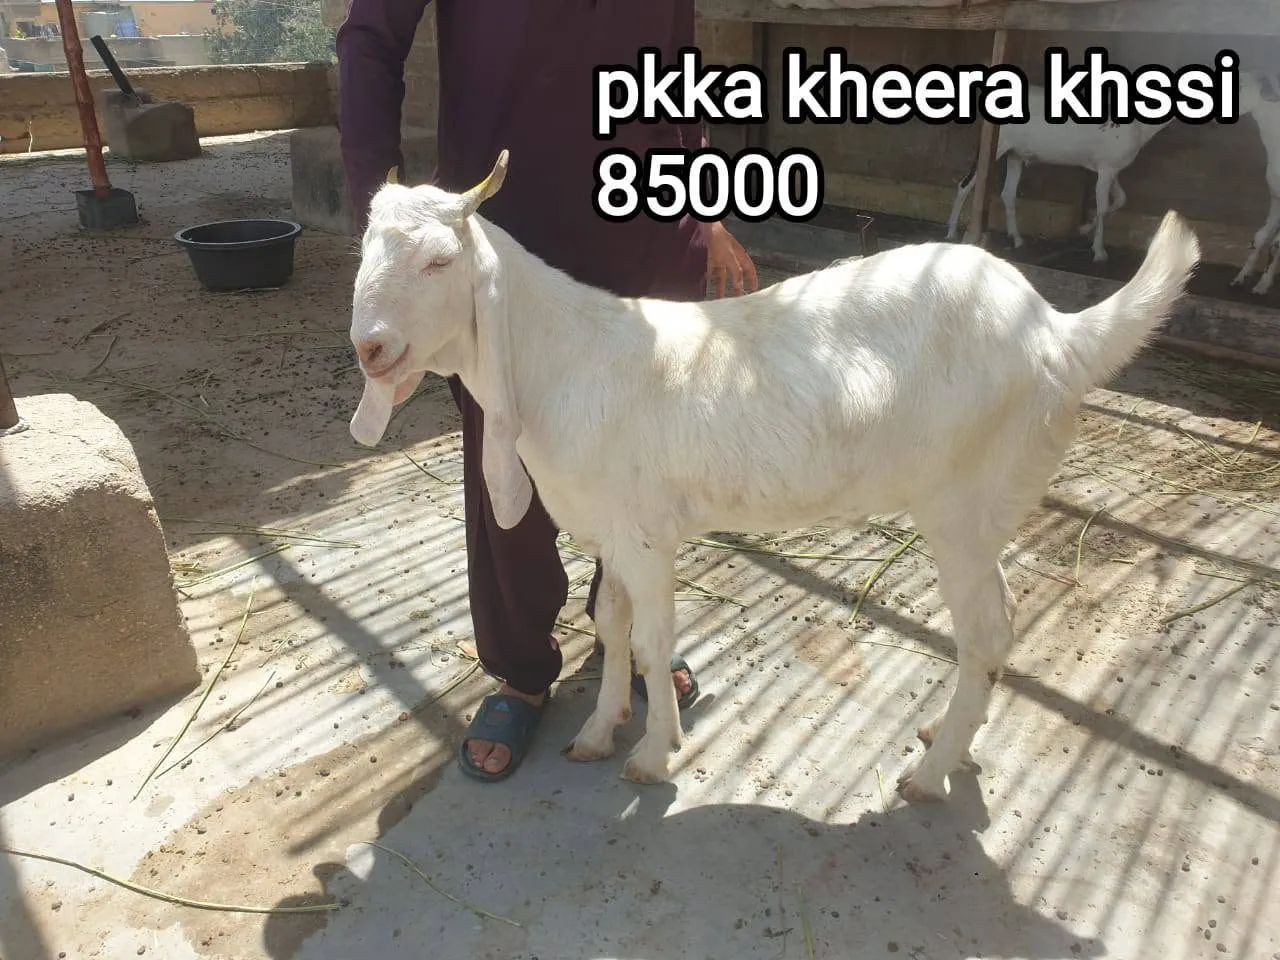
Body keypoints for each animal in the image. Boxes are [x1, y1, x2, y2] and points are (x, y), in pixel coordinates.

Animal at [347, 151, 1199, 802]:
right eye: (366, 252)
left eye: (439, 261)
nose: (371, 349)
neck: (563, 359)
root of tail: (1058, 332)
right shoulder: (612, 528)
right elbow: (612, 626)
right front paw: (597, 730)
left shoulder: (647, 536)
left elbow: (654, 639)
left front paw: (653, 754)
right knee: (999, 628)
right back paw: (950, 735)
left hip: (961, 502)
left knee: (987, 628)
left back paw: (929, 773)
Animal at [946, 84, 1174, 263]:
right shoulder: (1107, 166)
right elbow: (1103, 207)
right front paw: (1099, 252)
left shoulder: (1111, 167)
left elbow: (1120, 200)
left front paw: (1084, 229)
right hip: (997, 144)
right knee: (965, 184)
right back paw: (952, 233)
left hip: (1015, 154)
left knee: (1008, 193)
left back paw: (1017, 239)